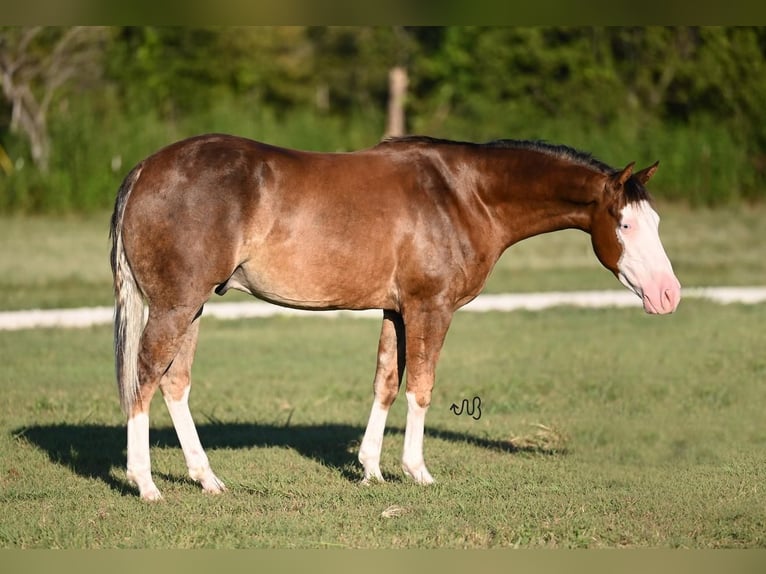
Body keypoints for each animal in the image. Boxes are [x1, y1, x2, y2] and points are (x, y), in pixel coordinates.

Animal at [109, 134, 684, 500]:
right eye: (625, 224)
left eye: (656, 222)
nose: (668, 294)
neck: (464, 194)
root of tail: (144, 169)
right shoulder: (430, 308)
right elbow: (421, 387)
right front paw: (416, 470)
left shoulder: (396, 310)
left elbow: (386, 382)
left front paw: (370, 470)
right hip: (176, 306)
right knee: (144, 378)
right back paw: (146, 484)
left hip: (193, 305)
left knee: (174, 383)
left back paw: (206, 479)